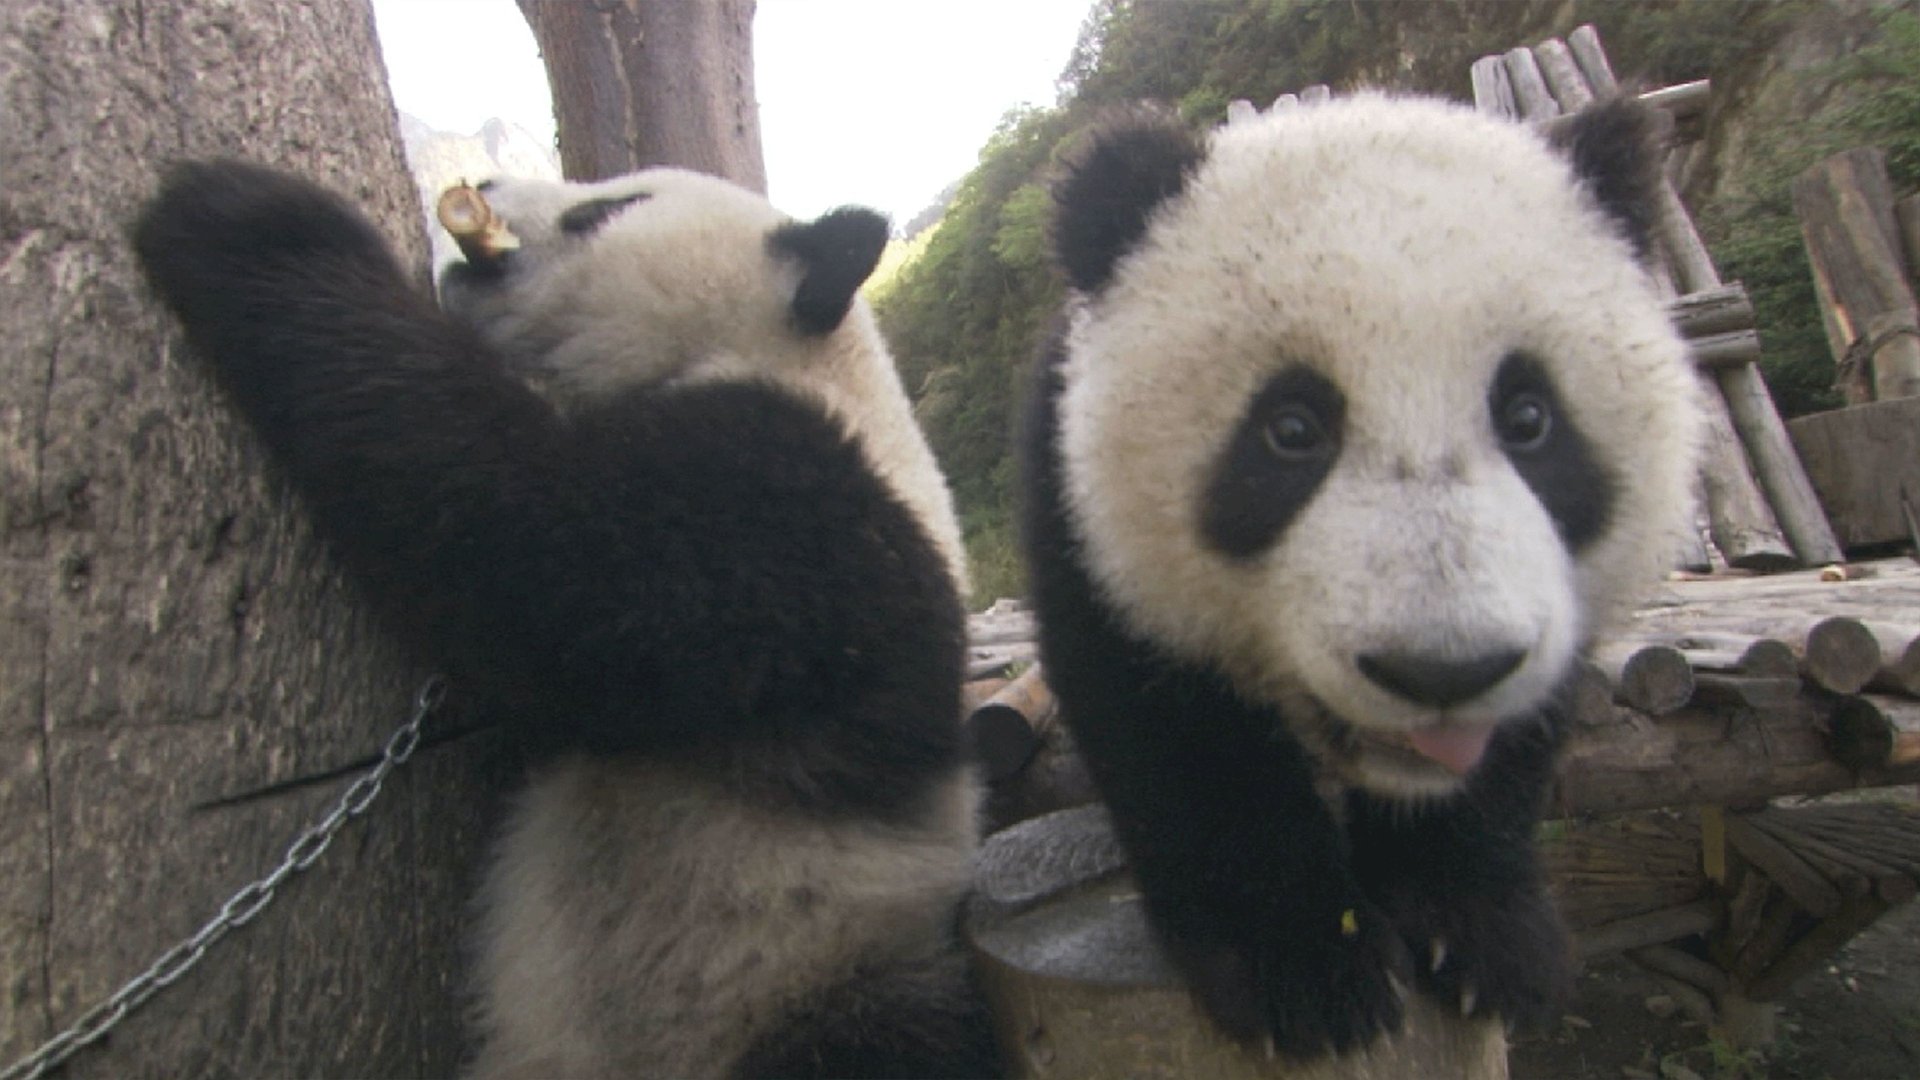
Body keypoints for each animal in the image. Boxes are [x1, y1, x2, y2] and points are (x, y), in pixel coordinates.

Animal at [134, 161, 999, 1079]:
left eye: (604, 209)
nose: (480, 182)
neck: (804, 352)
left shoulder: (801, 517)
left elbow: (538, 545)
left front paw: (251, 217)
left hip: (816, 973)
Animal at [1019, 95, 1702, 1058]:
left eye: (1530, 416)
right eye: (1292, 429)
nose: (1442, 673)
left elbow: (1517, 730)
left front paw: (1479, 935)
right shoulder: (1078, 508)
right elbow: (1172, 723)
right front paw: (1309, 970)